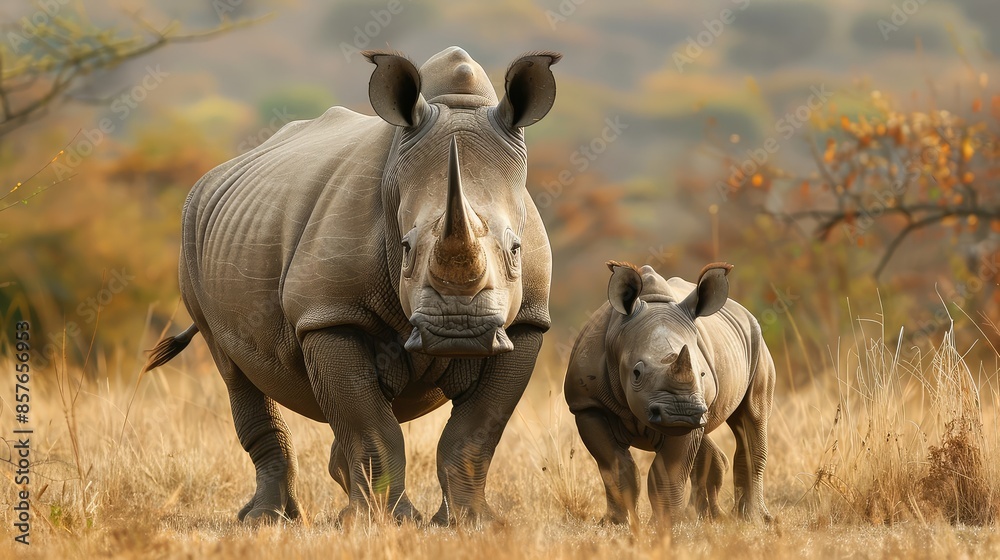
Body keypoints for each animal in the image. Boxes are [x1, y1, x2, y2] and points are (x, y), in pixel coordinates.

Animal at [142, 46, 560, 525]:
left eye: (516, 249)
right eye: (406, 247)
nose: (460, 329)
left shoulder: (527, 322)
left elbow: (475, 432)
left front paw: (470, 522)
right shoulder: (329, 315)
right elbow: (370, 427)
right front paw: (384, 522)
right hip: (191, 238)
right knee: (233, 370)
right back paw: (266, 519)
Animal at [564, 261, 774, 526]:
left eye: (702, 374)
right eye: (636, 373)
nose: (681, 412)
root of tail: (744, 312)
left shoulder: (689, 413)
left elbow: (668, 471)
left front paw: (665, 523)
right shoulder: (588, 404)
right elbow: (615, 466)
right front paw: (616, 522)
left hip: (756, 343)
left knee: (752, 417)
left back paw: (751, 519)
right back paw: (706, 516)